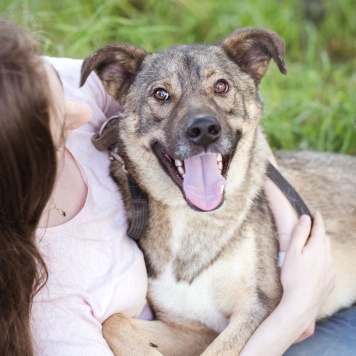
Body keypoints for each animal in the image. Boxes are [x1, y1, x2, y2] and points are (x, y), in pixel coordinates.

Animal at [80, 28, 356, 356]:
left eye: (221, 86)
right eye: (160, 94)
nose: (203, 130)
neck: (194, 221)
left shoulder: (257, 308)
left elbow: (218, 350)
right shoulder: (192, 327)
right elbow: (114, 321)